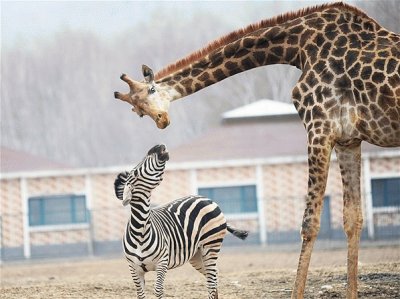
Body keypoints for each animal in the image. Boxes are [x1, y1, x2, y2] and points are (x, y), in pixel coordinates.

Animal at [114, 144, 248, 298]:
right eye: (135, 172)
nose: (158, 146)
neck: (140, 231)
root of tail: (207, 199)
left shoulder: (162, 263)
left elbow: (158, 290)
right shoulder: (134, 268)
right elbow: (140, 294)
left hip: (211, 245)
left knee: (212, 279)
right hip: (197, 254)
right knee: (213, 276)